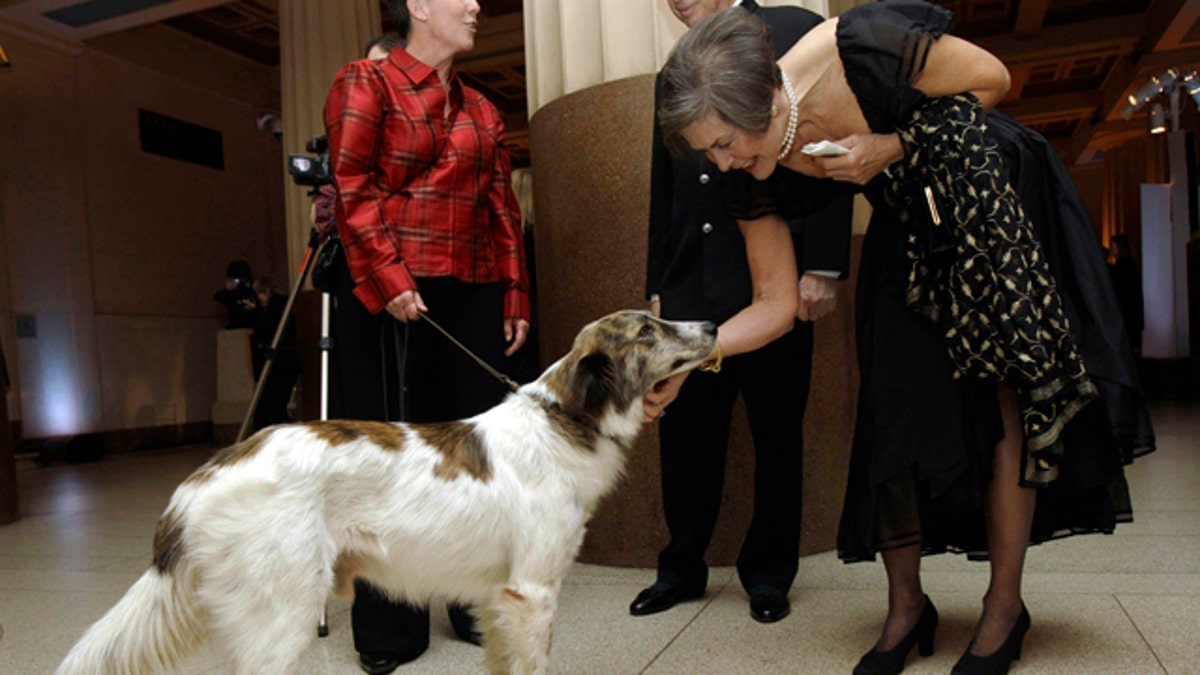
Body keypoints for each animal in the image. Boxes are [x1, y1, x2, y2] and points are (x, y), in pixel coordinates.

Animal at [56, 309, 715, 672]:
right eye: (648, 328)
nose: (712, 323)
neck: (559, 425)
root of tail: (204, 476)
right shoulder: (531, 594)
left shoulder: (498, 601)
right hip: (281, 620)